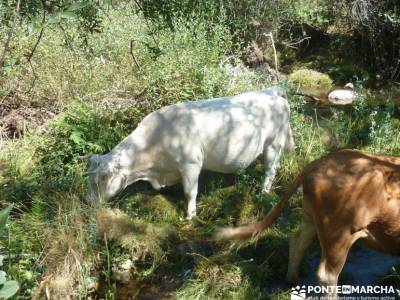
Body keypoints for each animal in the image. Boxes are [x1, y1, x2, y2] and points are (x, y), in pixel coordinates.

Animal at [86, 85, 296, 219]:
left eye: (101, 179)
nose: (88, 202)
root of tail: (272, 91)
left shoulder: (191, 163)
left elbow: (190, 191)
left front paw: (190, 215)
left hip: (273, 144)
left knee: (270, 170)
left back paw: (263, 193)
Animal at [217, 149, 400, 296]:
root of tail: (317, 163)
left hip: (311, 218)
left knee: (297, 243)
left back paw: (292, 281)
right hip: (339, 234)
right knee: (326, 274)